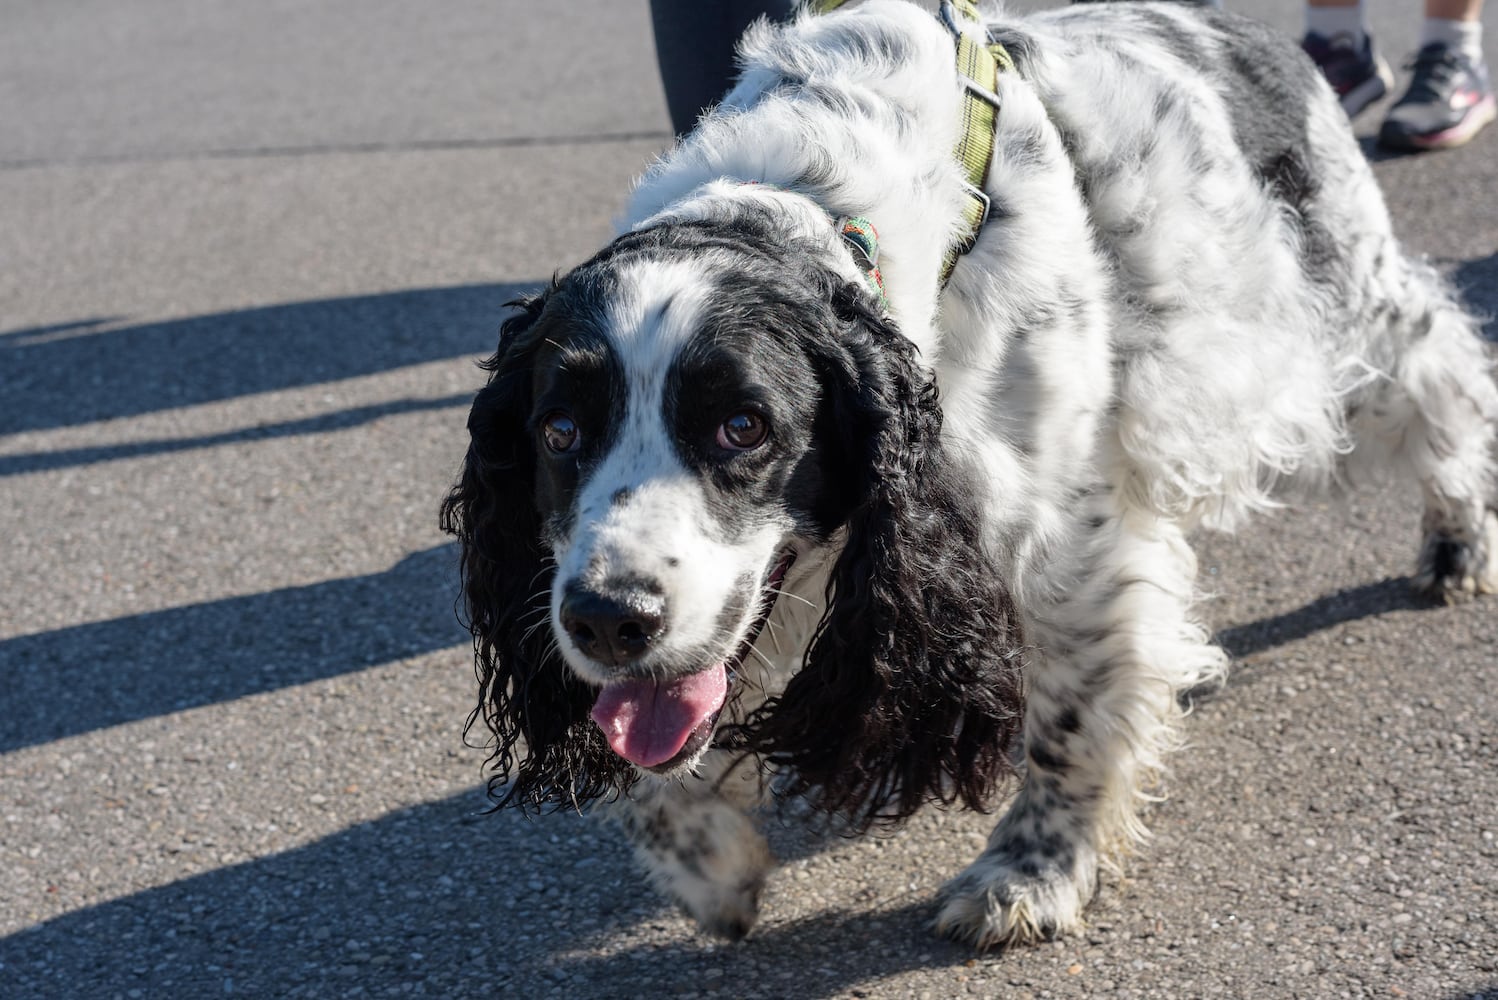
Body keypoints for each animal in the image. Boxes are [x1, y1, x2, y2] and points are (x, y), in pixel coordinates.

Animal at [443, 0, 1498, 952]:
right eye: (559, 430)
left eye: (744, 427)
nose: (608, 619)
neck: (816, 207)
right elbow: (654, 756)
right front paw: (712, 869)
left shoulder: (1053, 540)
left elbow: (1072, 719)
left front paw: (1030, 877)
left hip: (1341, 324)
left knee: (1442, 369)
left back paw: (1460, 539)